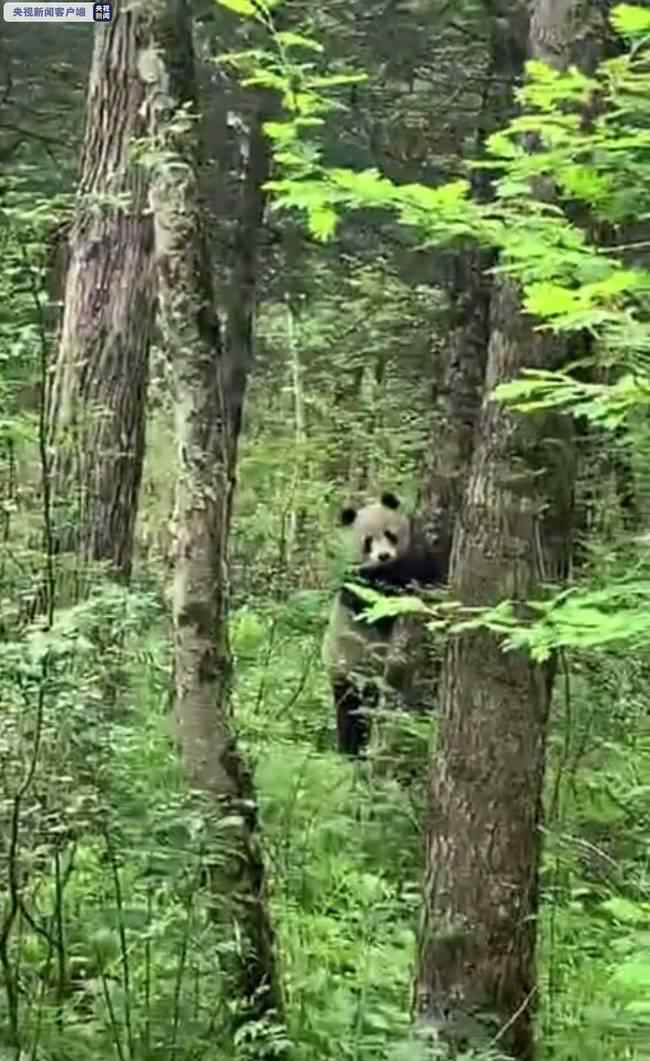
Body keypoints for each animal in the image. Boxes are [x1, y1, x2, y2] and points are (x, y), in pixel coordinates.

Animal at [320, 494, 443, 755]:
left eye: (389, 534)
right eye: (368, 541)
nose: (384, 555)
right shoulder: (360, 584)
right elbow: (384, 599)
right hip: (348, 667)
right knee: (351, 713)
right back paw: (350, 751)